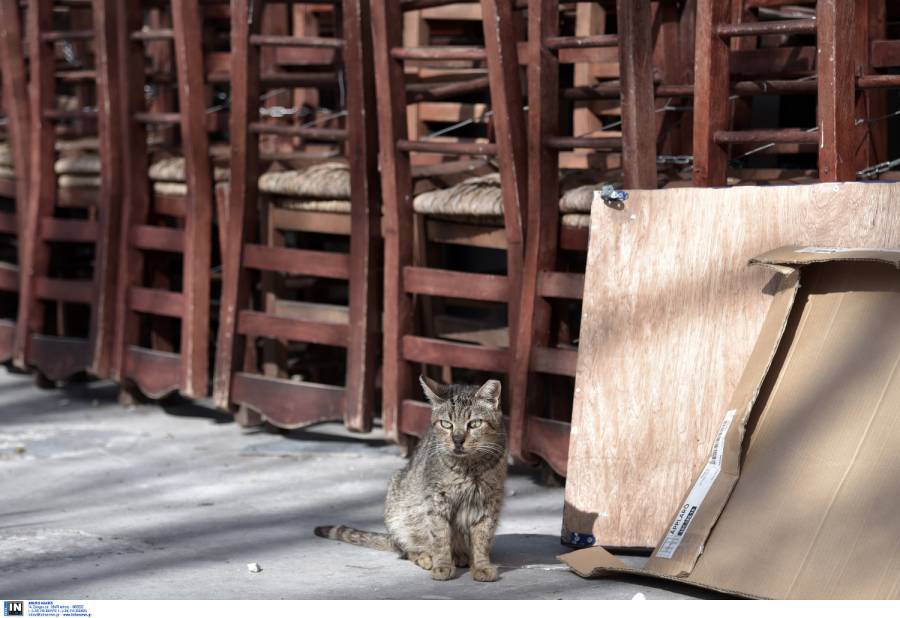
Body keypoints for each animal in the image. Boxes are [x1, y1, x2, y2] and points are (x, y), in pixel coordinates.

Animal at [314, 372, 506, 580]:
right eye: (446, 424)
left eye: (475, 424)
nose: (457, 440)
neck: (469, 468)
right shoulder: (436, 501)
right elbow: (440, 536)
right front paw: (442, 565)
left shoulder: (489, 501)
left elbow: (482, 539)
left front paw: (481, 566)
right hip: (397, 514)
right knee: (407, 551)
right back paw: (427, 557)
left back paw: (461, 556)